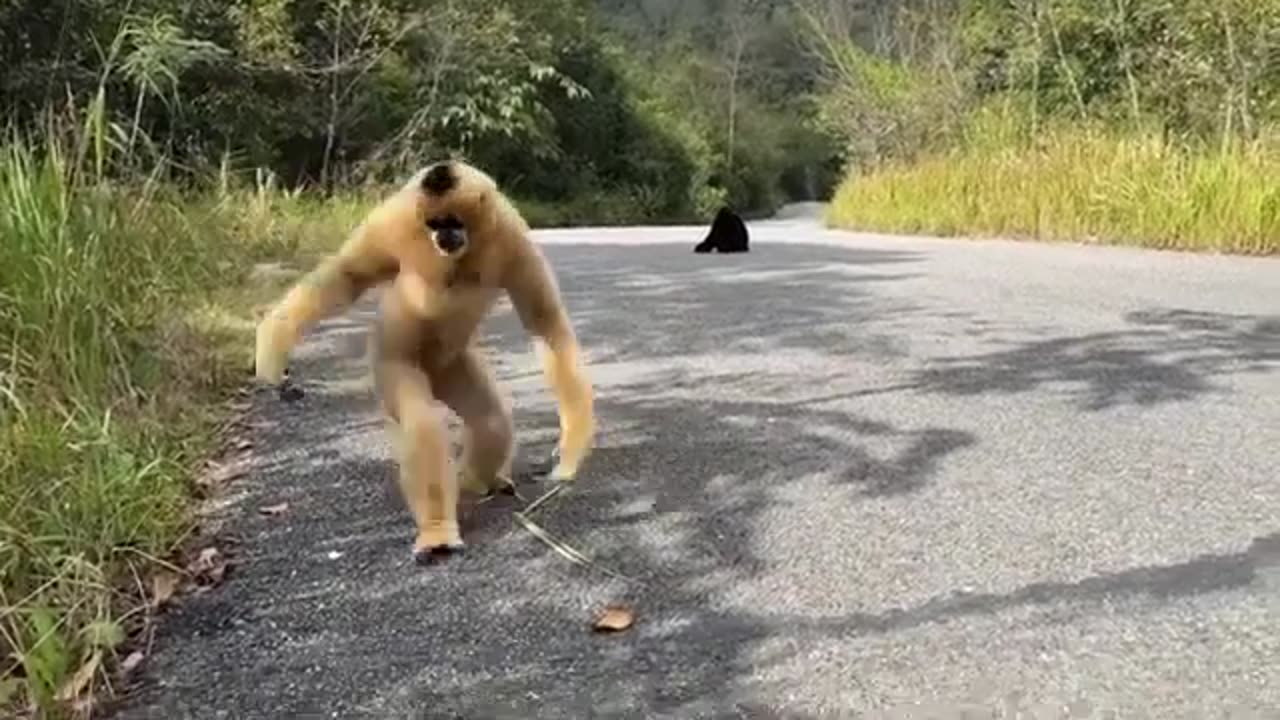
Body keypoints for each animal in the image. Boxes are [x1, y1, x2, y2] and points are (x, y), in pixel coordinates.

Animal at [253, 159, 595, 563]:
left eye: (452, 221)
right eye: (434, 223)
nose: (443, 236)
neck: (461, 256)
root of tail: (435, 370)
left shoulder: (512, 238)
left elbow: (546, 323)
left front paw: (570, 452)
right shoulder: (394, 221)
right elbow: (347, 275)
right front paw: (274, 349)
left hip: (453, 365)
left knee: (490, 422)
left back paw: (475, 482)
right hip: (390, 361)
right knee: (424, 423)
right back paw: (439, 530)